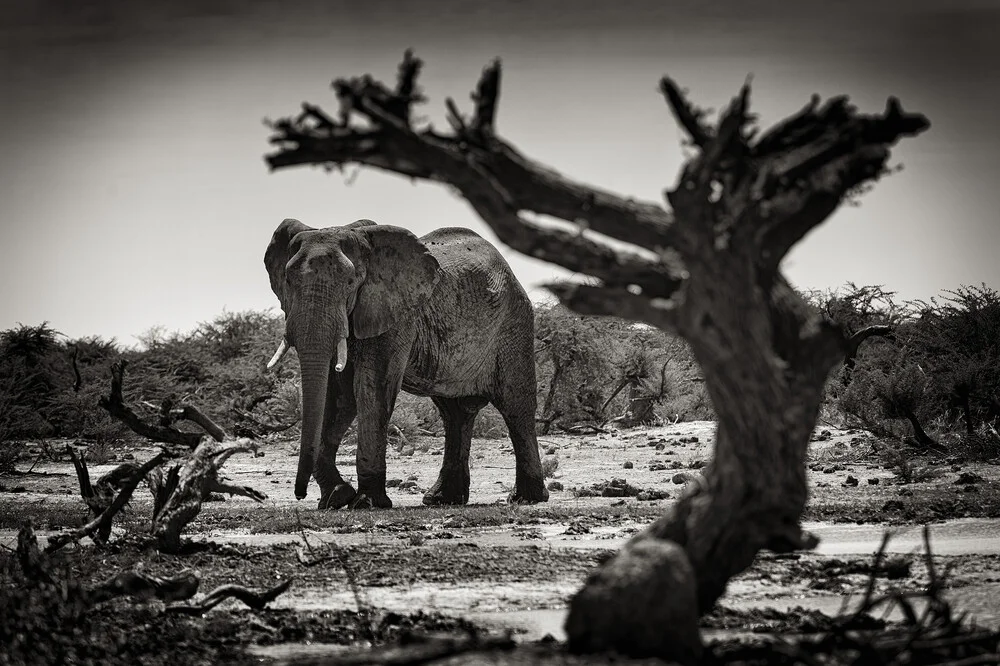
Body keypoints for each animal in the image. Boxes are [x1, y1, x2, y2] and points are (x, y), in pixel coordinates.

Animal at [262, 218, 552, 508]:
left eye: (350, 282)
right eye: (287, 280)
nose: (300, 494)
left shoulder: (396, 315)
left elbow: (370, 389)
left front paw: (366, 502)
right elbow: (339, 397)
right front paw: (337, 497)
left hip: (514, 324)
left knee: (516, 406)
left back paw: (526, 498)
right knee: (455, 414)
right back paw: (441, 499)